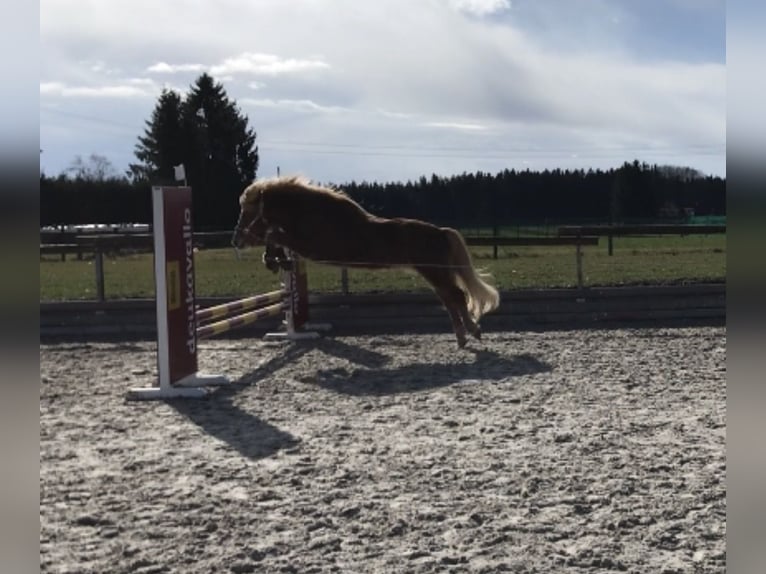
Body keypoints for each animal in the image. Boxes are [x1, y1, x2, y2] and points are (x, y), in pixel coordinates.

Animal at [231, 175, 500, 347]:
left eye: (248, 211)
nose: (237, 240)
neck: (312, 213)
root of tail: (441, 232)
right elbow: (276, 237)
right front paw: (276, 261)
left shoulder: (311, 246)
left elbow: (274, 235)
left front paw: (273, 260)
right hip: (435, 273)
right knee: (450, 299)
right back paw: (462, 337)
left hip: (434, 272)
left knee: (456, 296)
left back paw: (471, 333)